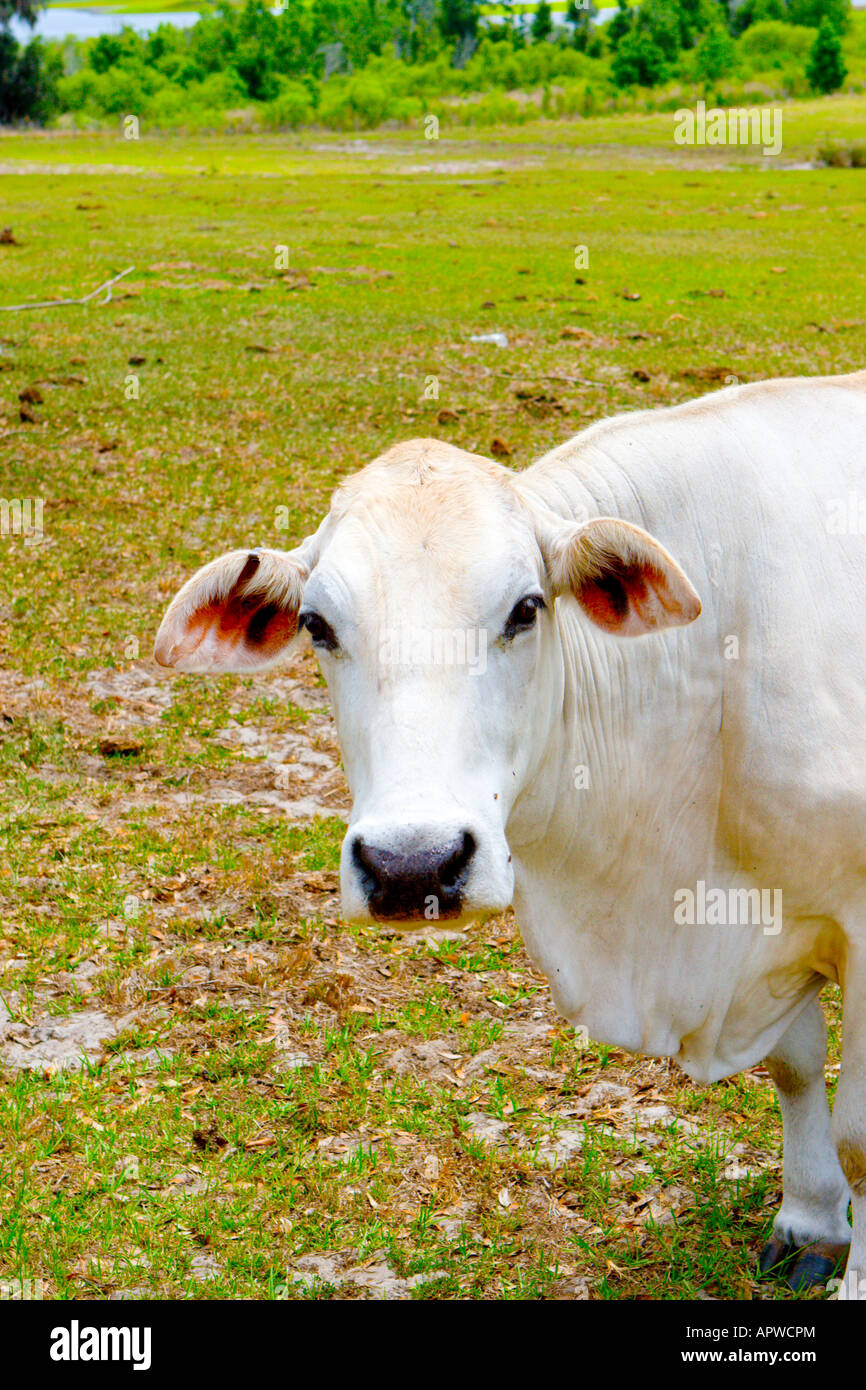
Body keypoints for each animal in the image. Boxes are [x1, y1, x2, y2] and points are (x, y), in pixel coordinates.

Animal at [155, 371, 866, 1299]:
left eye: (526, 608)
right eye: (317, 625)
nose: (412, 866)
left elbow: (862, 1133)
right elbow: (795, 1065)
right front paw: (812, 1219)